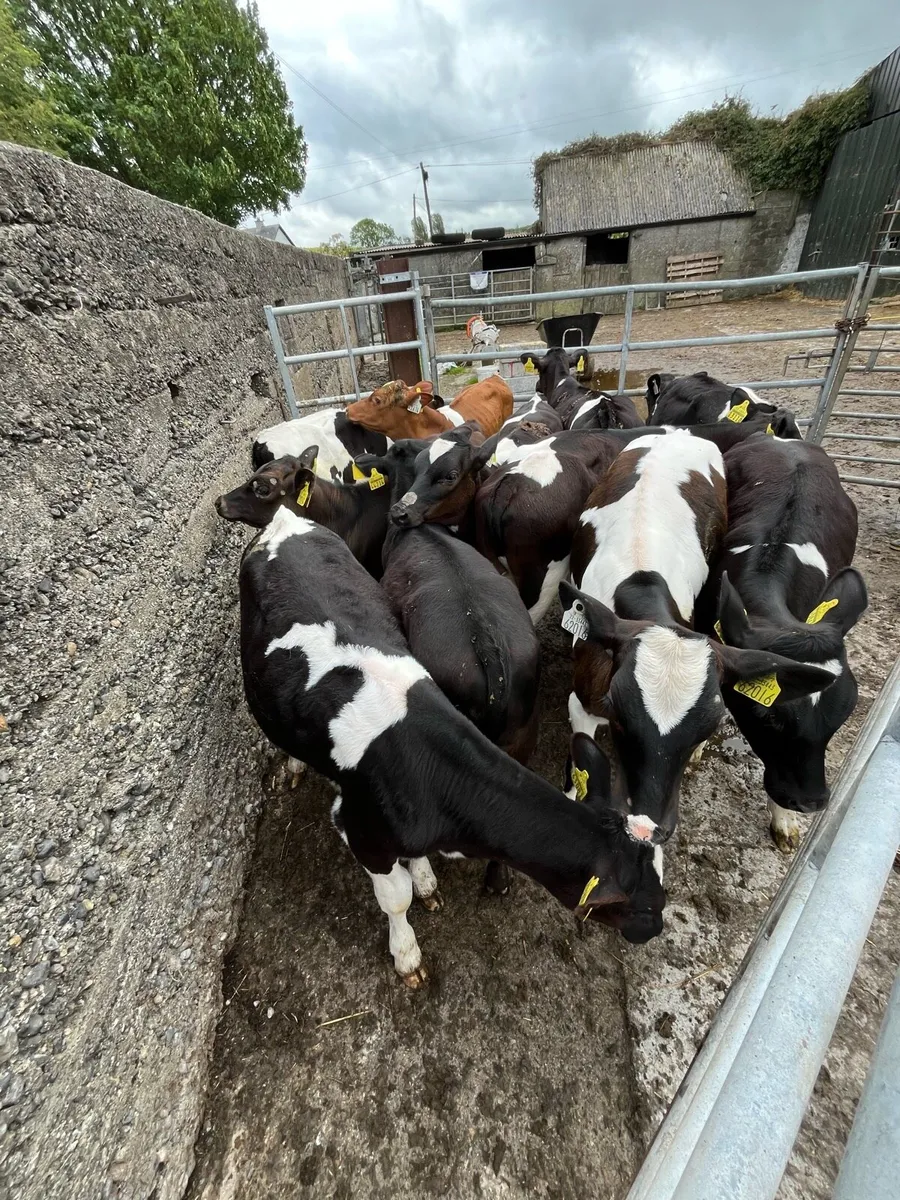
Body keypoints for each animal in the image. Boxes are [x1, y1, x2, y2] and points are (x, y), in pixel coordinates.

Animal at [238, 510, 667, 983]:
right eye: (640, 904)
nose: (655, 931)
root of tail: (286, 519)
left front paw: (425, 878)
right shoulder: (361, 831)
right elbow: (396, 898)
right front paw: (407, 955)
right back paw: (295, 765)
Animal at [561, 430, 834, 867]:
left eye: (711, 725)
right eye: (617, 714)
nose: (645, 827)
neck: (641, 578)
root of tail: (678, 432)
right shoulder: (582, 698)